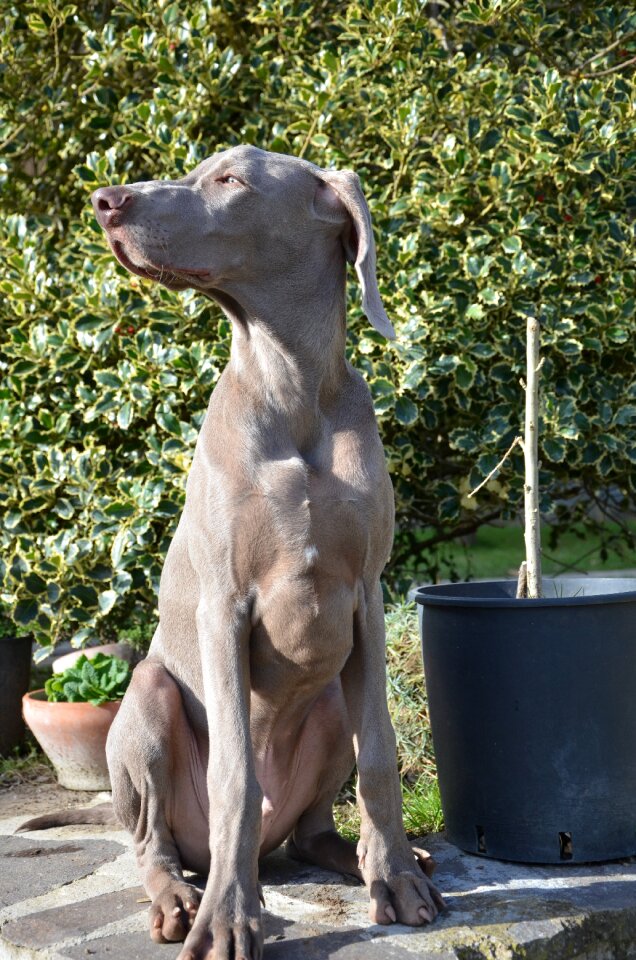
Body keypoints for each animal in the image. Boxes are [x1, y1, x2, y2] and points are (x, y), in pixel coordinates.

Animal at [82, 144, 442, 960]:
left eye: (230, 180)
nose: (105, 200)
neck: (295, 389)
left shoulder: (368, 595)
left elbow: (381, 757)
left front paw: (399, 880)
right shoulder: (225, 604)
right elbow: (236, 779)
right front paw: (228, 920)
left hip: (331, 695)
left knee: (312, 829)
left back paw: (362, 856)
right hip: (147, 699)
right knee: (154, 845)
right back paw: (183, 898)